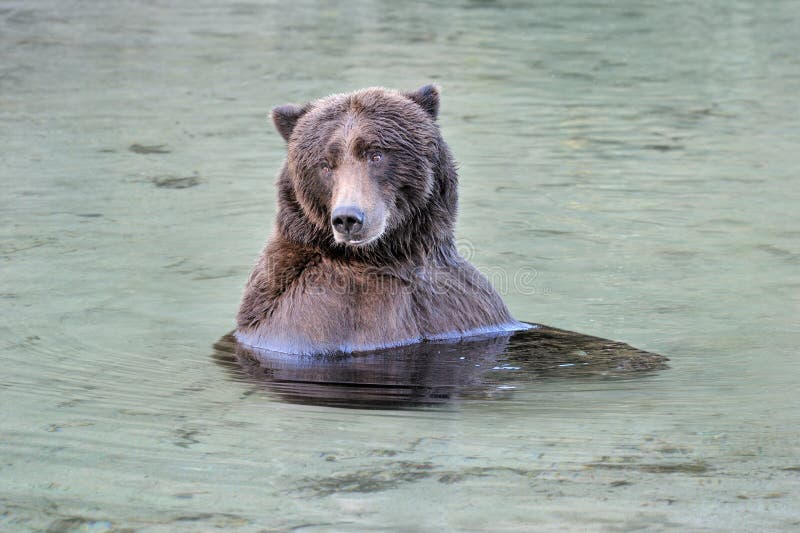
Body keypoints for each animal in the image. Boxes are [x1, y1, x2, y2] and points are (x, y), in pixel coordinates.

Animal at [234, 84, 528, 354]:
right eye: (325, 164)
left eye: (376, 154)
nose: (348, 218)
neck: (392, 257)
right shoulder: (332, 310)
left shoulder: (464, 305)